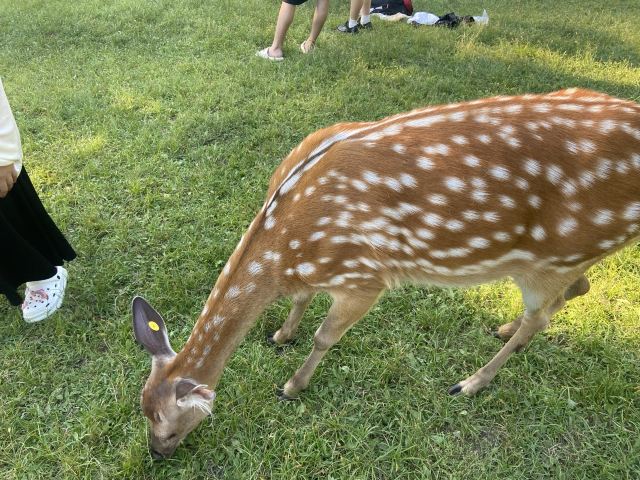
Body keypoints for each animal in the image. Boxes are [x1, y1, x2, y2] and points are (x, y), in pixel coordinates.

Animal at [132, 88, 640, 458]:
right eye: (142, 409)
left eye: (169, 426)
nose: (156, 454)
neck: (287, 248)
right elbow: (302, 303)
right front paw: (281, 334)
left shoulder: (363, 277)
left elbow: (325, 336)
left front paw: (292, 385)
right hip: (564, 258)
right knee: (577, 289)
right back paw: (501, 327)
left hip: (559, 254)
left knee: (543, 316)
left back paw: (470, 383)